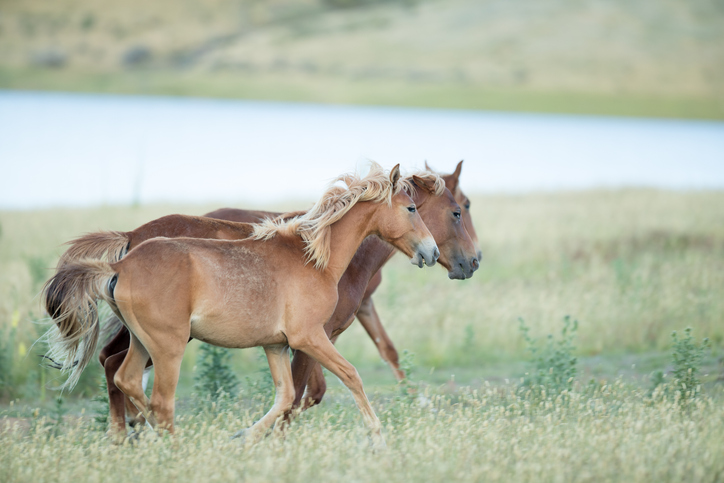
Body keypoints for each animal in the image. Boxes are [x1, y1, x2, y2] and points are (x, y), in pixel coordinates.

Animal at [46, 164, 442, 448]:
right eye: (411, 208)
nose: (432, 252)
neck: (312, 260)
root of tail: (121, 265)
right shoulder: (309, 338)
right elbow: (350, 377)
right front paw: (377, 439)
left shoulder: (276, 345)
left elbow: (285, 396)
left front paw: (244, 438)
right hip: (168, 347)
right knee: (159, 401)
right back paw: (172, 447)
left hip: (143, 342)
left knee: (125, 378)